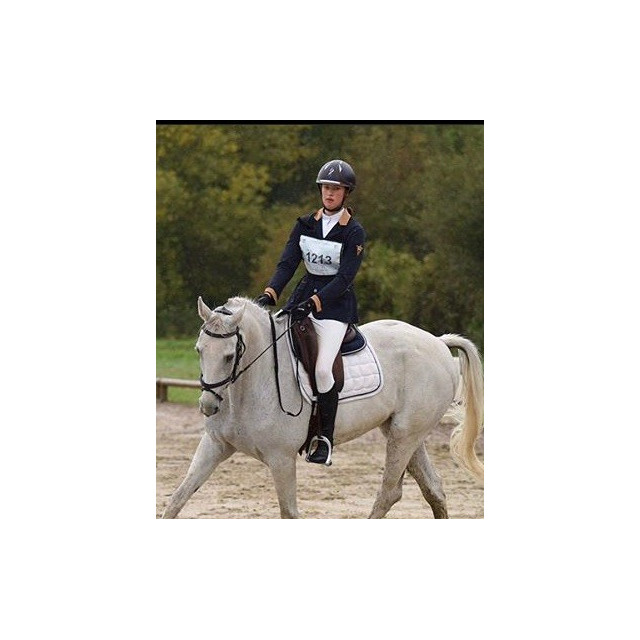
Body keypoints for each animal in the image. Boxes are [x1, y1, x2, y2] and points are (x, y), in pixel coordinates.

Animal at [161, 296, 484, 519]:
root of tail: (438, 343)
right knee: (433, 488)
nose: (207, 406)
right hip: (403, 432)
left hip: (404, 436)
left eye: (230, 356)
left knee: (389, 492)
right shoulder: (215, 445)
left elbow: (289, 513)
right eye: (199, 350)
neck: (246, 385)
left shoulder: (281, 459)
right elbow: (177, 498)